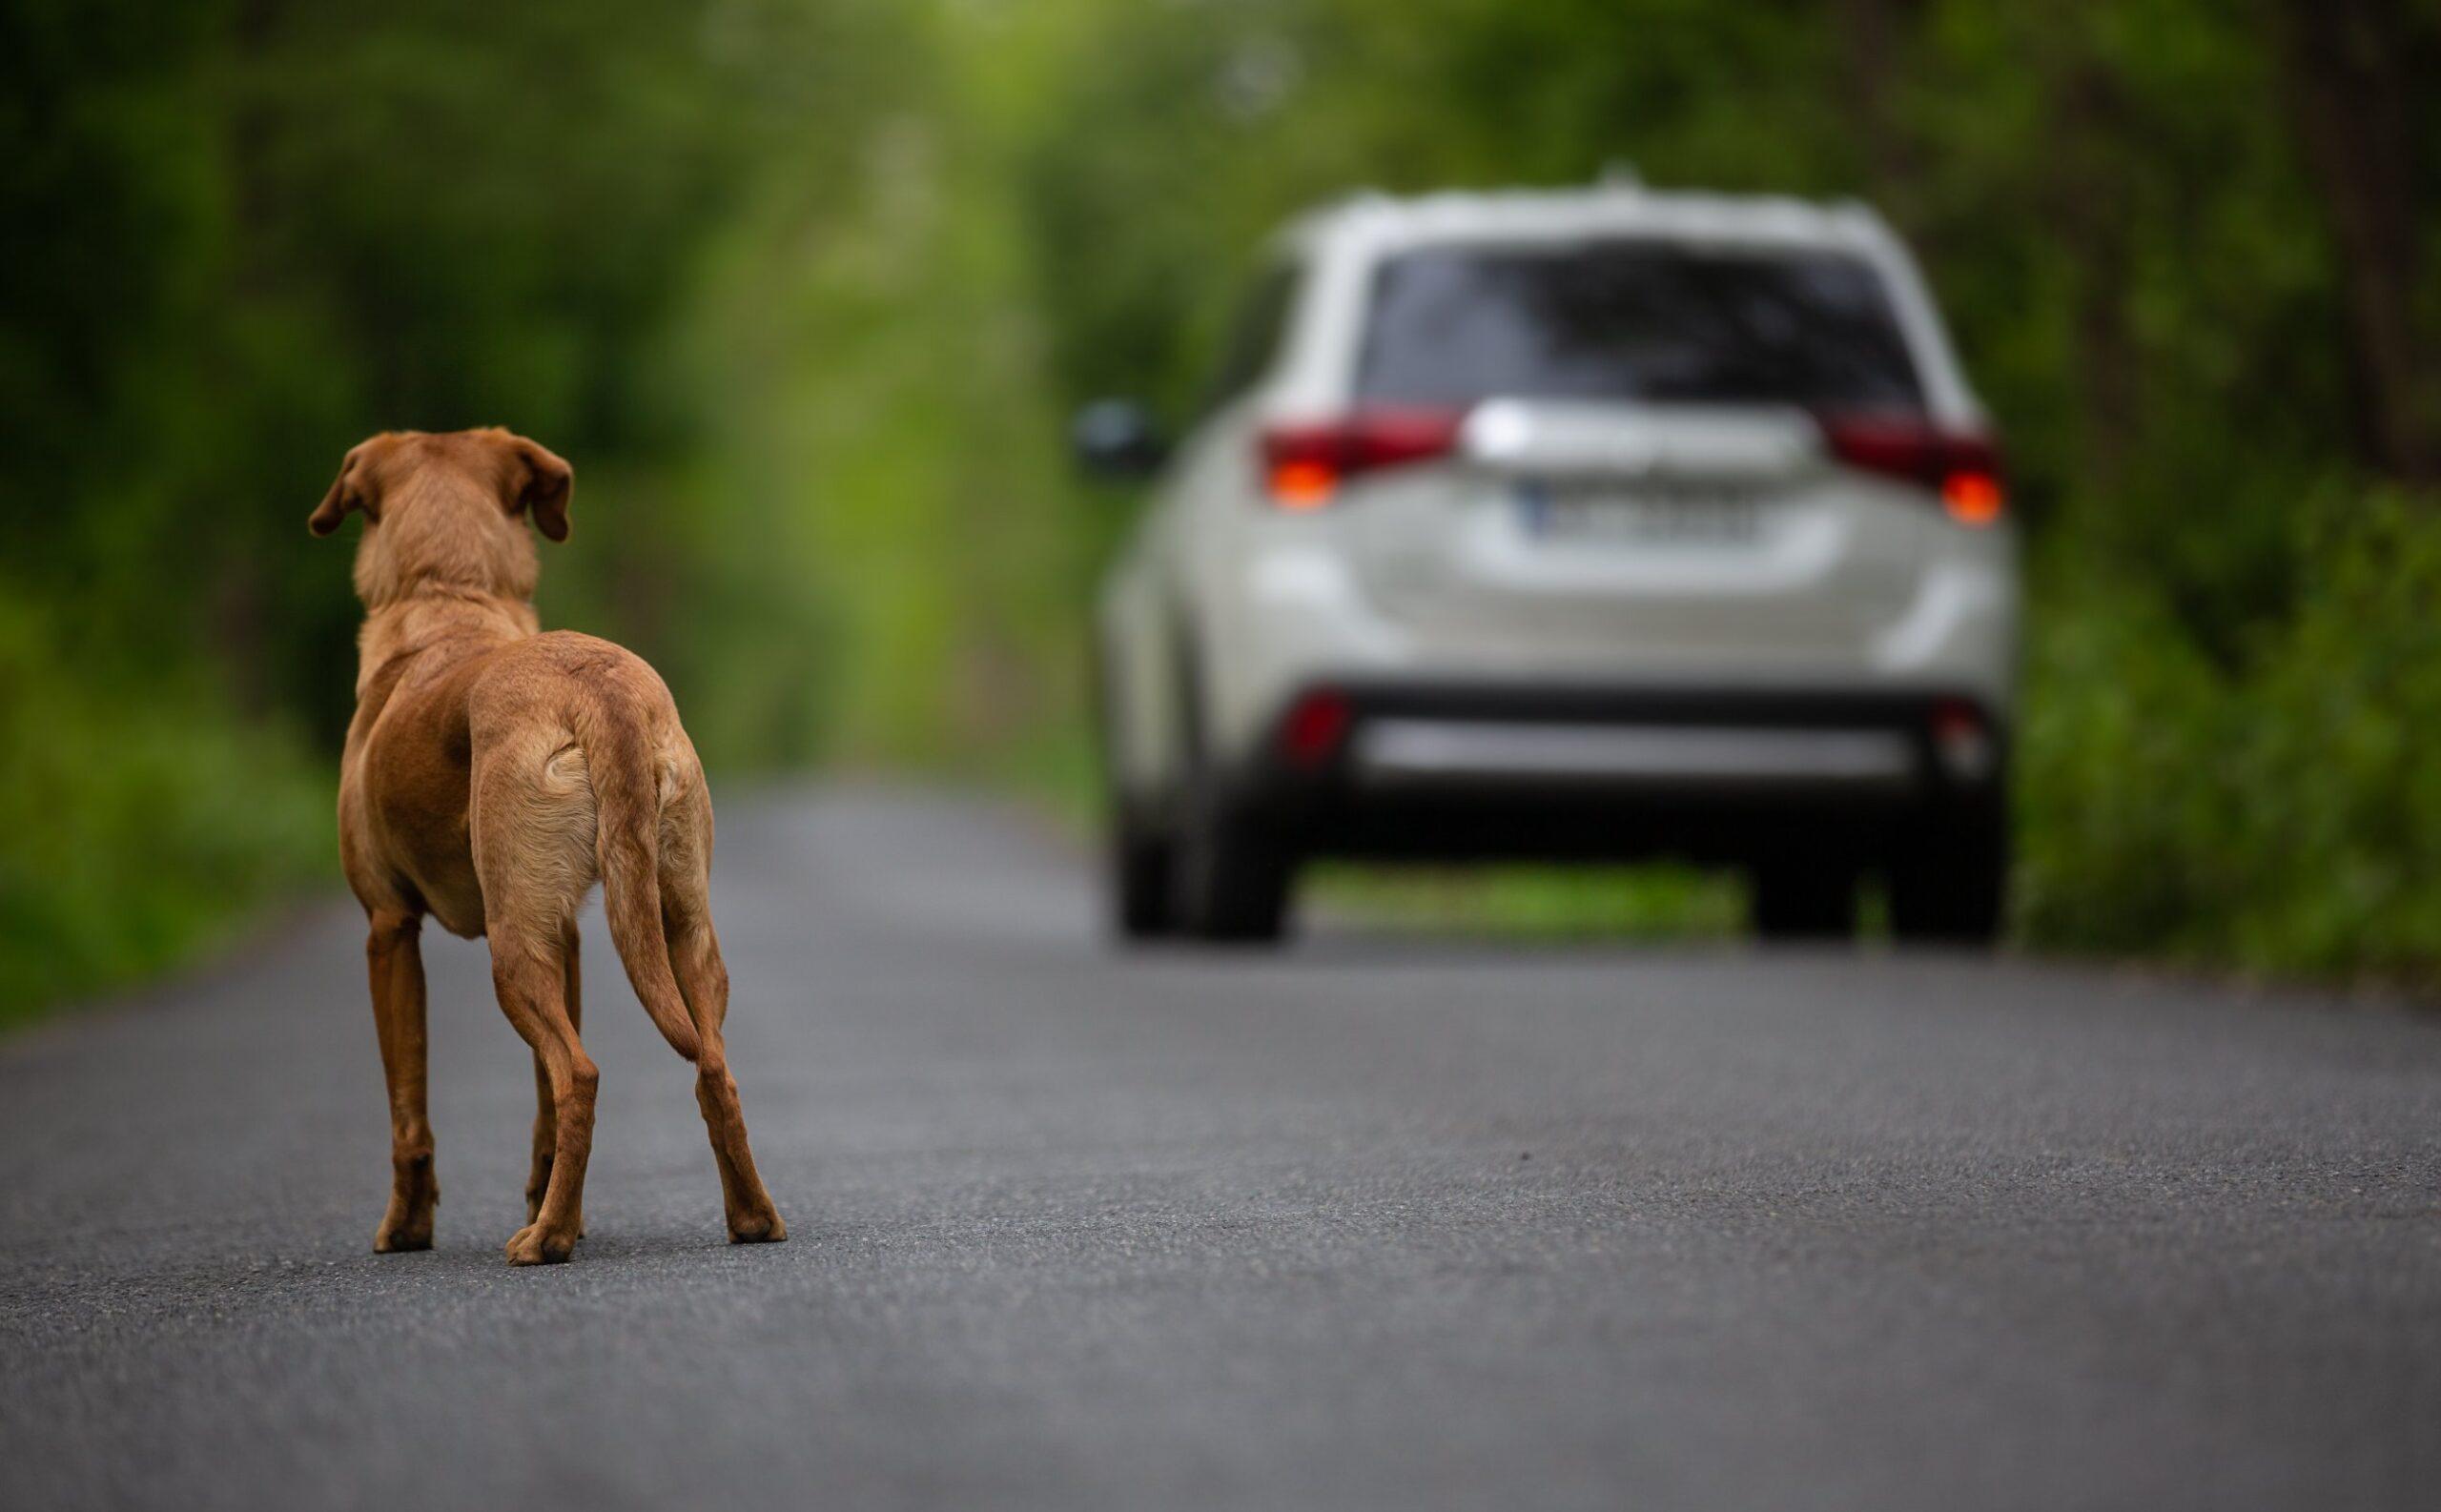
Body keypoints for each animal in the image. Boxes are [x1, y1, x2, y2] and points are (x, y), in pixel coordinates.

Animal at [307, 431, 781, 1268]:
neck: (451, 596)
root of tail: (597, 687)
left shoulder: (389, 930)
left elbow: (409, 1111)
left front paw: (406, 1229)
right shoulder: (568, 935)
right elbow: (538, 1114)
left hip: (511, 947)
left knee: (580, 1073)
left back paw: (548, 1239)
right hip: (680, 925)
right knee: (711, 1068)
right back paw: (748, 1217)